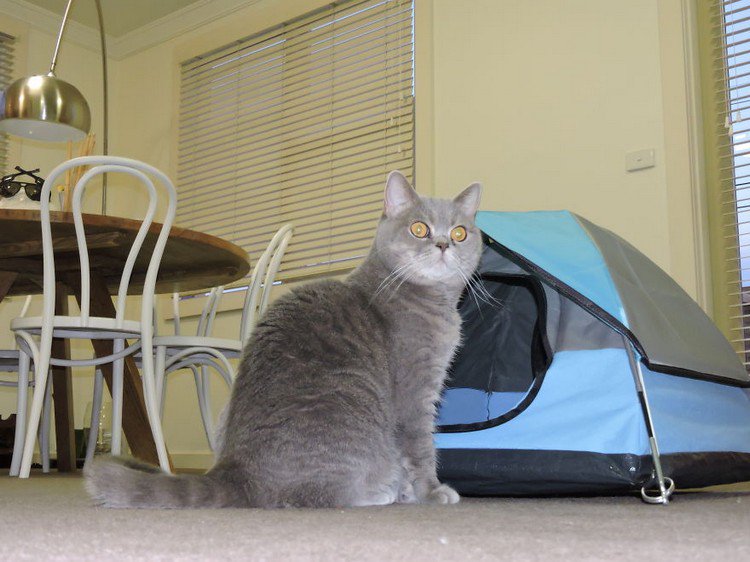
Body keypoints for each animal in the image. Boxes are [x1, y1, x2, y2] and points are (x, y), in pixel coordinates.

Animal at [85, 171, 484, 508]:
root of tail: (236, 469)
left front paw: (410, 493)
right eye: (419, 228)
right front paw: (431, 493)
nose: (444, 243)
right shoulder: (414, 390)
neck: (432, 300)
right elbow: (420, 447)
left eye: (460, 233)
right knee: (316, 497)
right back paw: (378, 493)